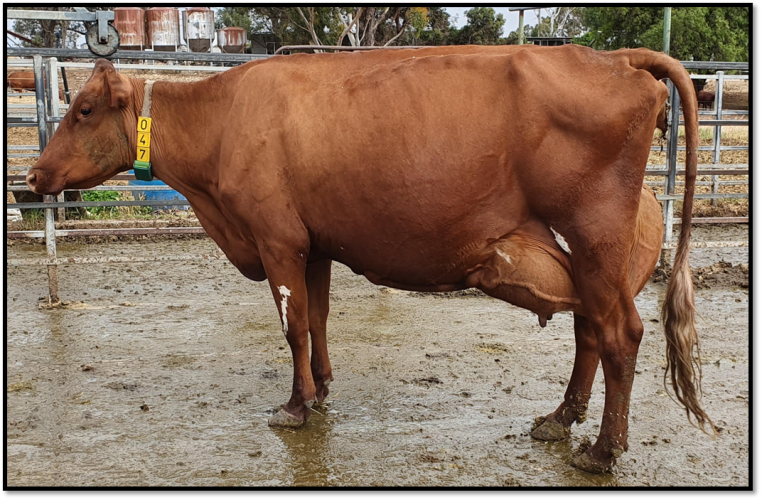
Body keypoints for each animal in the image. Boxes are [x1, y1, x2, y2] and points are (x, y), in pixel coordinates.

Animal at [26, 46, 708, 472]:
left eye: (83, 109)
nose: (32, 174)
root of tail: (614, 59)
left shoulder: (277, 239)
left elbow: (292, 324)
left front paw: (294, 408)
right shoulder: (315, 244)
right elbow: (318, 318)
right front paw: (322, 388)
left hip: (594, 237)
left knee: (619, 334)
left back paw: (602, 451)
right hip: (590, 257)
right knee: (590, 331)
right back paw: (560, 419)